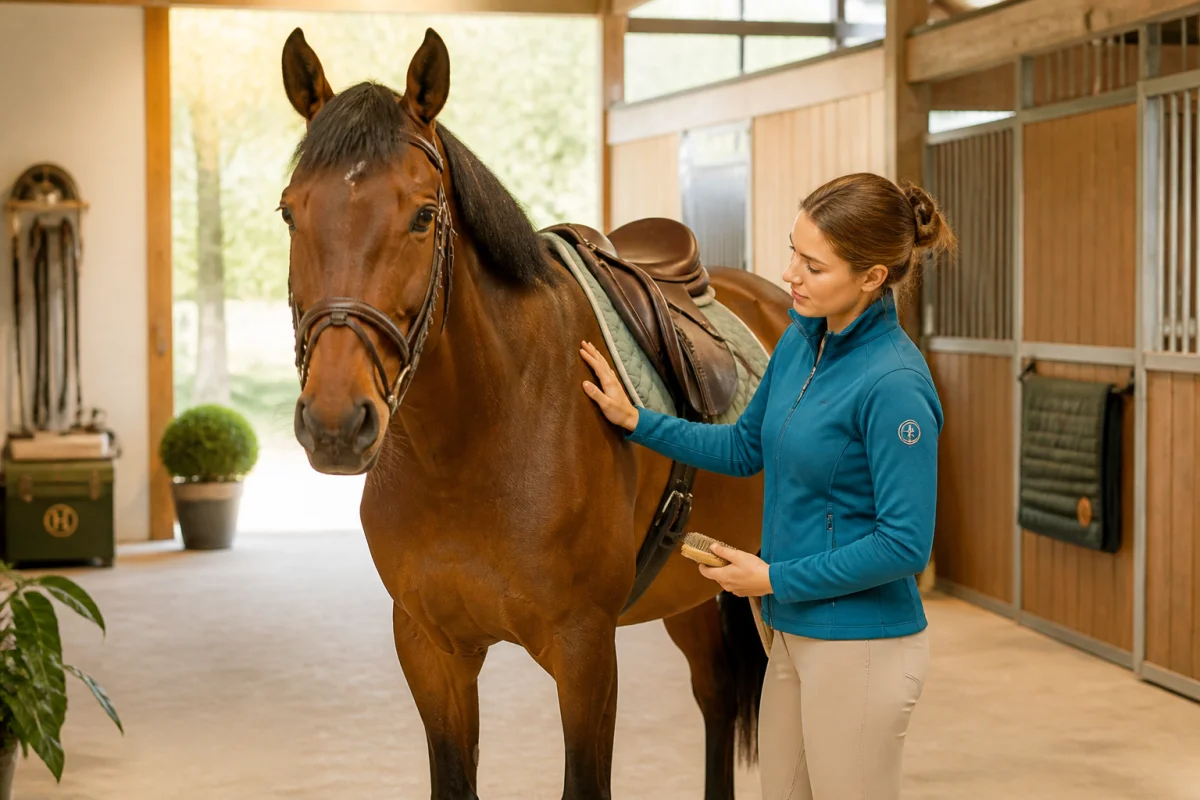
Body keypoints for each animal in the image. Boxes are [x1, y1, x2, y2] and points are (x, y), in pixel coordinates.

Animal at [277, 26, 794, 800]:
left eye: (422, 216)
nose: (337, 423)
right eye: (290, 210)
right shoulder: (430, 650)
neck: (474, 440)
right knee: (716, 692)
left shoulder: (584, 655)